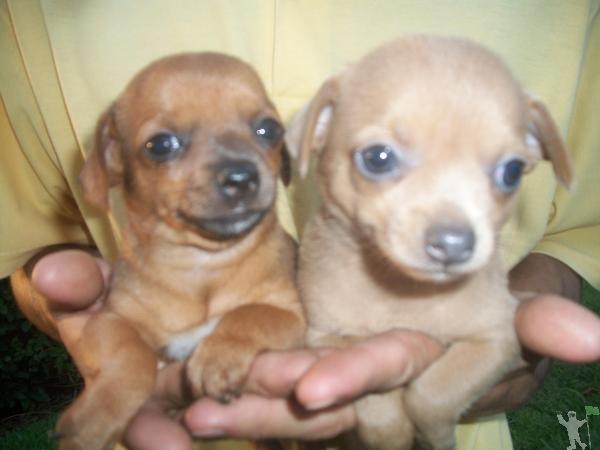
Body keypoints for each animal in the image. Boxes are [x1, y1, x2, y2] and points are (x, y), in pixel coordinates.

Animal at [56, 53, 305, 450]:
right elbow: (131, 355)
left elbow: (250, 313)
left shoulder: (291, 314)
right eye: (161, 145)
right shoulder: (110, 321)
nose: (241, 176)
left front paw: (219, 354)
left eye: (269, 130)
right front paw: (98, 413)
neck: (201, 264)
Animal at [287, 36, 572, 450]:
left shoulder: (496, 339)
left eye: (513, 171)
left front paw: (435, 435)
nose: (454, 243)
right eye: (378, 158)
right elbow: (372, 396)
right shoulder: (327, 339)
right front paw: (390, 431)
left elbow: (431, 392)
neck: (403, 293)